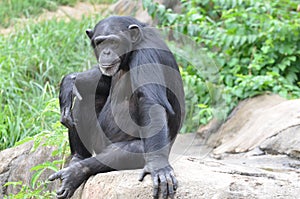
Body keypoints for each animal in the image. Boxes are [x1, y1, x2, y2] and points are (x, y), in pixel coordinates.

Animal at [49, 15, 185, 199]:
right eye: (100, 43)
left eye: (113, 42)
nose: (106, 52)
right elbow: (103, 81)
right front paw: (70, 81)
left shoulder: (146, 53)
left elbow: (149, 102)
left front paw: (158, 165)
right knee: (87, 95)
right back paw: (78, 158)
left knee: (135, 148)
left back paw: (76, 172)